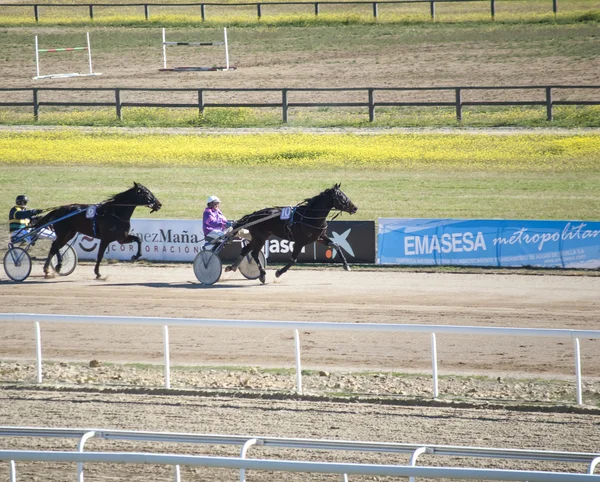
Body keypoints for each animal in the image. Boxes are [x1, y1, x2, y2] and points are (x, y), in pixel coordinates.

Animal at [31, 182, 163, 278]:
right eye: (146, 193)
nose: (159, 204)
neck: (116, 213)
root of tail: (59, 209)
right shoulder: (106, 239)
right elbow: (100, 255)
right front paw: (98, 273)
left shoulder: (122, 238)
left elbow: (138, 239)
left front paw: (136, 256)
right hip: (63, 233)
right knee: (54, 246)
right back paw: (47, 269)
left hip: (69, 233)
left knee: (56, 246)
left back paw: (57, 266)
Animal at [225, 184, 356, 282]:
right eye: (342, 197)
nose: (355, 208)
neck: (310, 216)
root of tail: (252, 215)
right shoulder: (300, 242)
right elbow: (293, 260)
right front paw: (279, 272)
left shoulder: (319, 237)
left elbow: (336, 245)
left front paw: (346, 265)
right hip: (260, 237)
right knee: (254, 253)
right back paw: (262, 274)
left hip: (260, 237)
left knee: (246, 249)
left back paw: (233, 266)